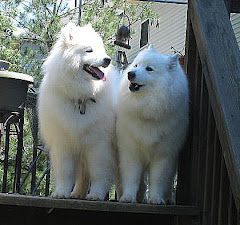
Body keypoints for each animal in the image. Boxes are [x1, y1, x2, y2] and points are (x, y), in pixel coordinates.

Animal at [37, 22, 116, 200]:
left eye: (101, 50)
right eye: (89, 50)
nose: (108, 59)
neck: (81, 98)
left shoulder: (99, 145)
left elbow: (98, 172)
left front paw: (96, 194)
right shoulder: (63, 143)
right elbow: (65, 172)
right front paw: (61, 192)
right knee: (83, 177)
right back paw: (77, 193)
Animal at [116, 44, 189, 205]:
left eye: (149, 69)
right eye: (136, 65)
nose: (130, 74)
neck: (147, 110)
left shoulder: (163, 155)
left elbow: (158, 180)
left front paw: (156, 198)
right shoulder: (131, 151)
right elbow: (131, 178)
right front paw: (128, 197)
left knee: (167, 183)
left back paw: (167, 198)